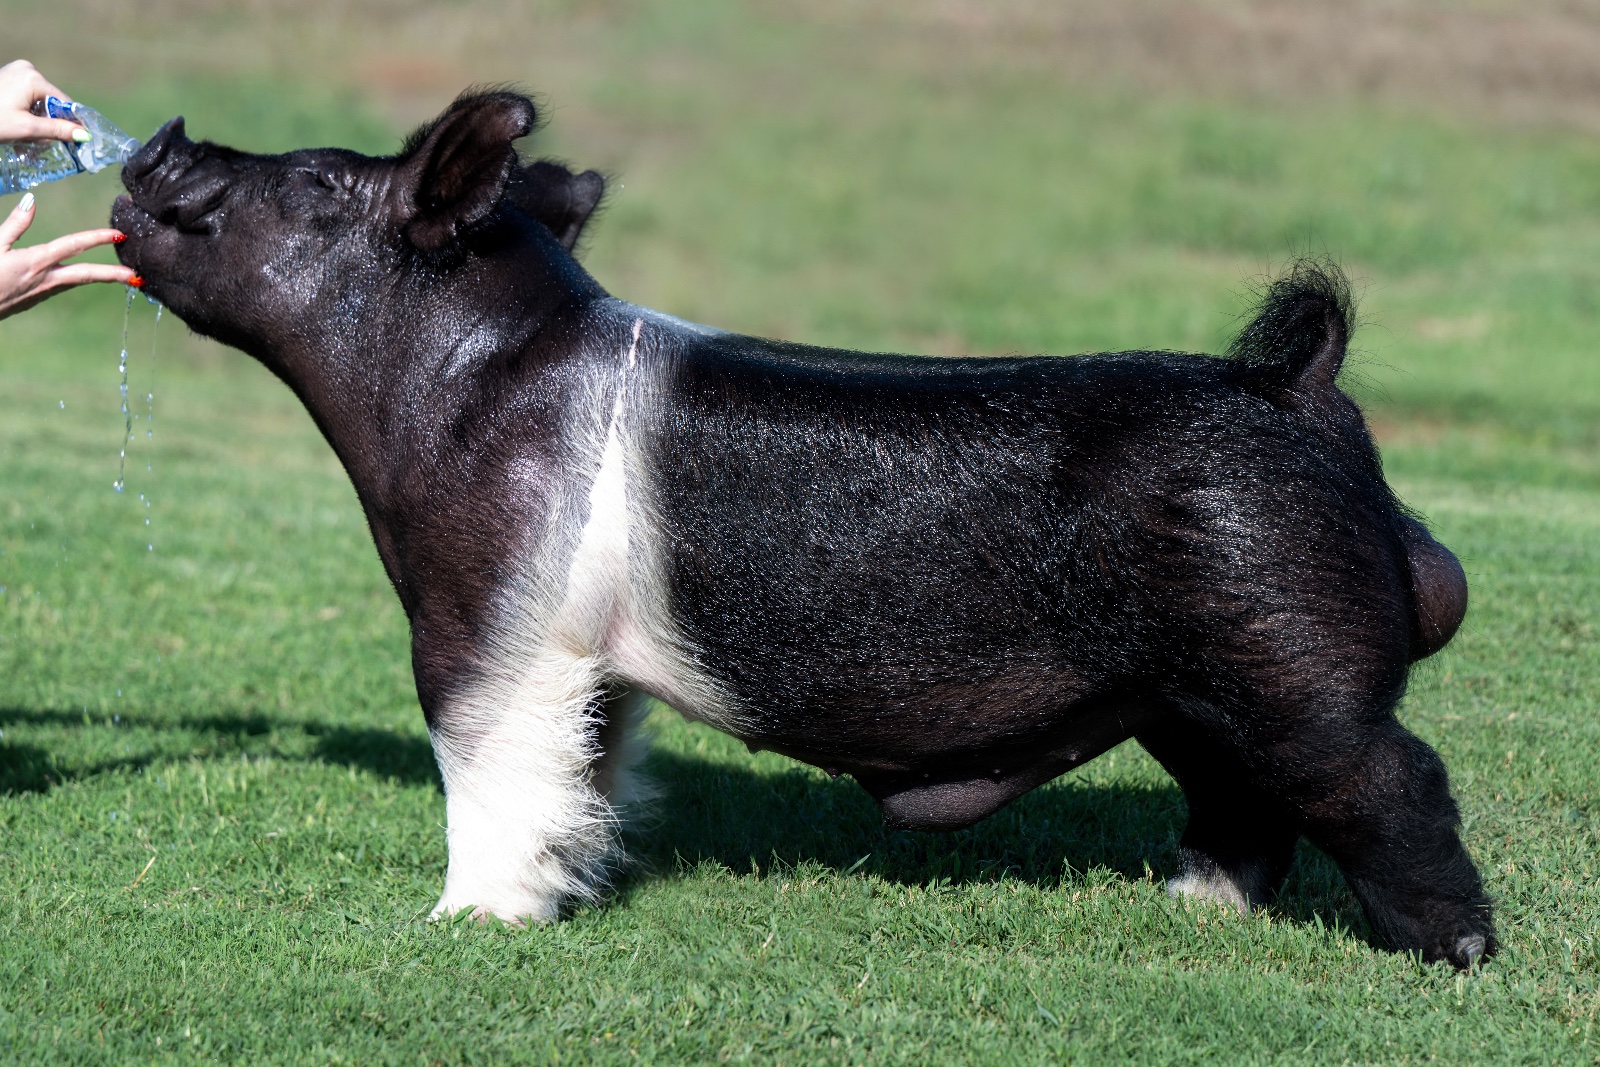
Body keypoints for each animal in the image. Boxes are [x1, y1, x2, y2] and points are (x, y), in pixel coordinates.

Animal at [111, 90, 1490, 967]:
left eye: (311, 182)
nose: (155, 143)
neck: (461, 385)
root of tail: (1292, 387)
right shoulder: (586, 656)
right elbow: (588, 763)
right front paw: (578, 883)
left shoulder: (484, 617)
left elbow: (484, 762)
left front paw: (463, 924)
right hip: (1193, 685)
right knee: (1243, 793)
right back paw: (1192, 908)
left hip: (1289, 649)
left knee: (1392, 776)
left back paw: (1453, 953)